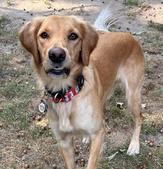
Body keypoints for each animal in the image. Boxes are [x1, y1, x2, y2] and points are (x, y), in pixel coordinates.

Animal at [18, 7, 144, 169]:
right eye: (44, 35)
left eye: (73, 36)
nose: (56, 55)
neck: (66, 94)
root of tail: (127, 36)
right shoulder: (64, 142)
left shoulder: (98, 134)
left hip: (132, 95)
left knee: (139, 118)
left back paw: (134, 146)